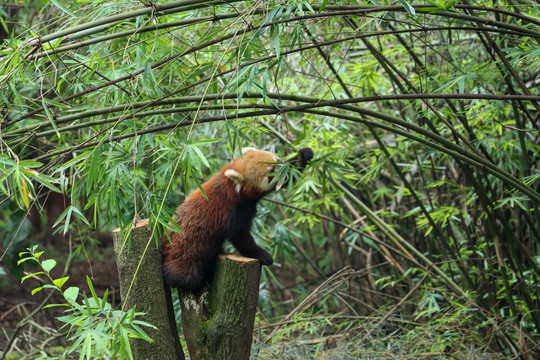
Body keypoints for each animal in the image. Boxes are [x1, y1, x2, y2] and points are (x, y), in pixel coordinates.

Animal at [161, 146, 312, 292]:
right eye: (270, 172)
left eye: (278, 160)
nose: (284, 175)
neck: (232, 187)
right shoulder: (233, 211)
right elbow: (240, 237)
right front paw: (261, 254)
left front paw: (303, 155)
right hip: (187, 255)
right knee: (188, 277)